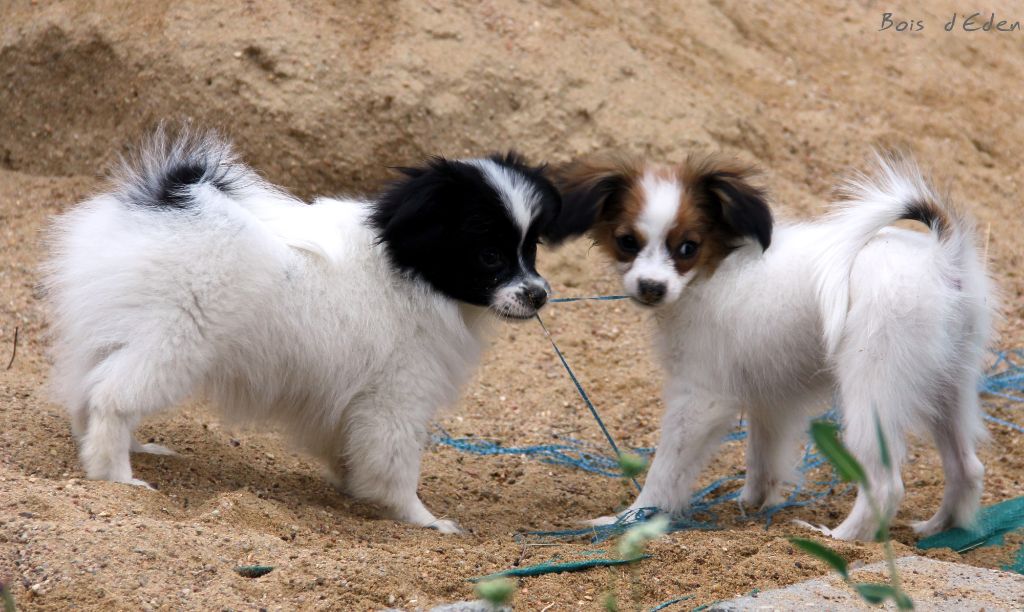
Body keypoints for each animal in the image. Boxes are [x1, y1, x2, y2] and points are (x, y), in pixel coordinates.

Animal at [44, 128, 565, 532]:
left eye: (531, 248)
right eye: (490, 255)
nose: (539, 294)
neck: (403, 265)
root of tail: (170, 198)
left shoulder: (351, 404)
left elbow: (350, 450)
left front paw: (355, 487)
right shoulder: (395, 399)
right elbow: (396, 467)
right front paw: (424, 520)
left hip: (115, 334)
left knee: (88, 391)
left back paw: (120, 450)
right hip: (174, 343)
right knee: (112, 396)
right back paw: (117, 475)